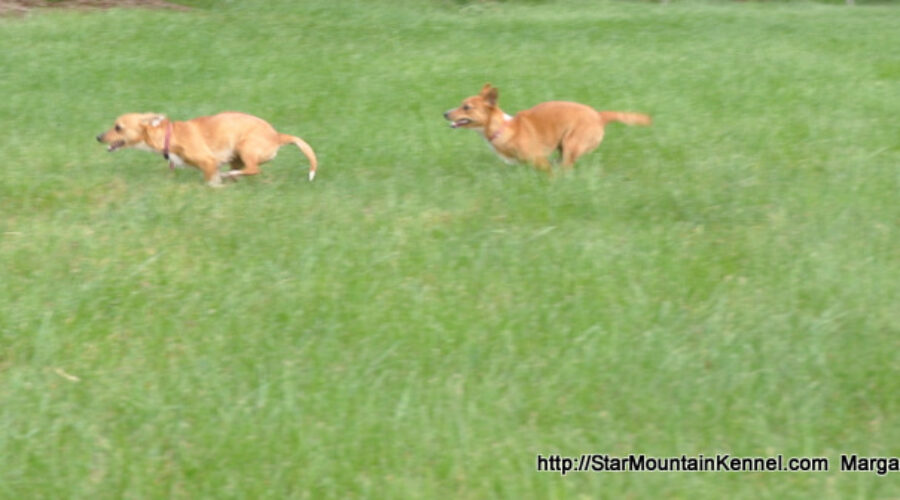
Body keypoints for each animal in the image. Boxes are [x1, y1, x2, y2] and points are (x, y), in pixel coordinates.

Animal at [97, 111, 316, 186]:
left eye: (118, 127)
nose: (98, 137)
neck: (169, 136)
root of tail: (278, 136)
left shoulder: (209, 162)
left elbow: (211, 180)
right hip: (237, 156)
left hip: (245, 147)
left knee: (253, 169)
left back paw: (231, 175)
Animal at [444, 84, 652, 172]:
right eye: (461, 104)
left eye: (466, 107)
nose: (445, 113)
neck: (503, 128)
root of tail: (599, 116)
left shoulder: (539, 160)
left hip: (571, 144)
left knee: (565, 167)